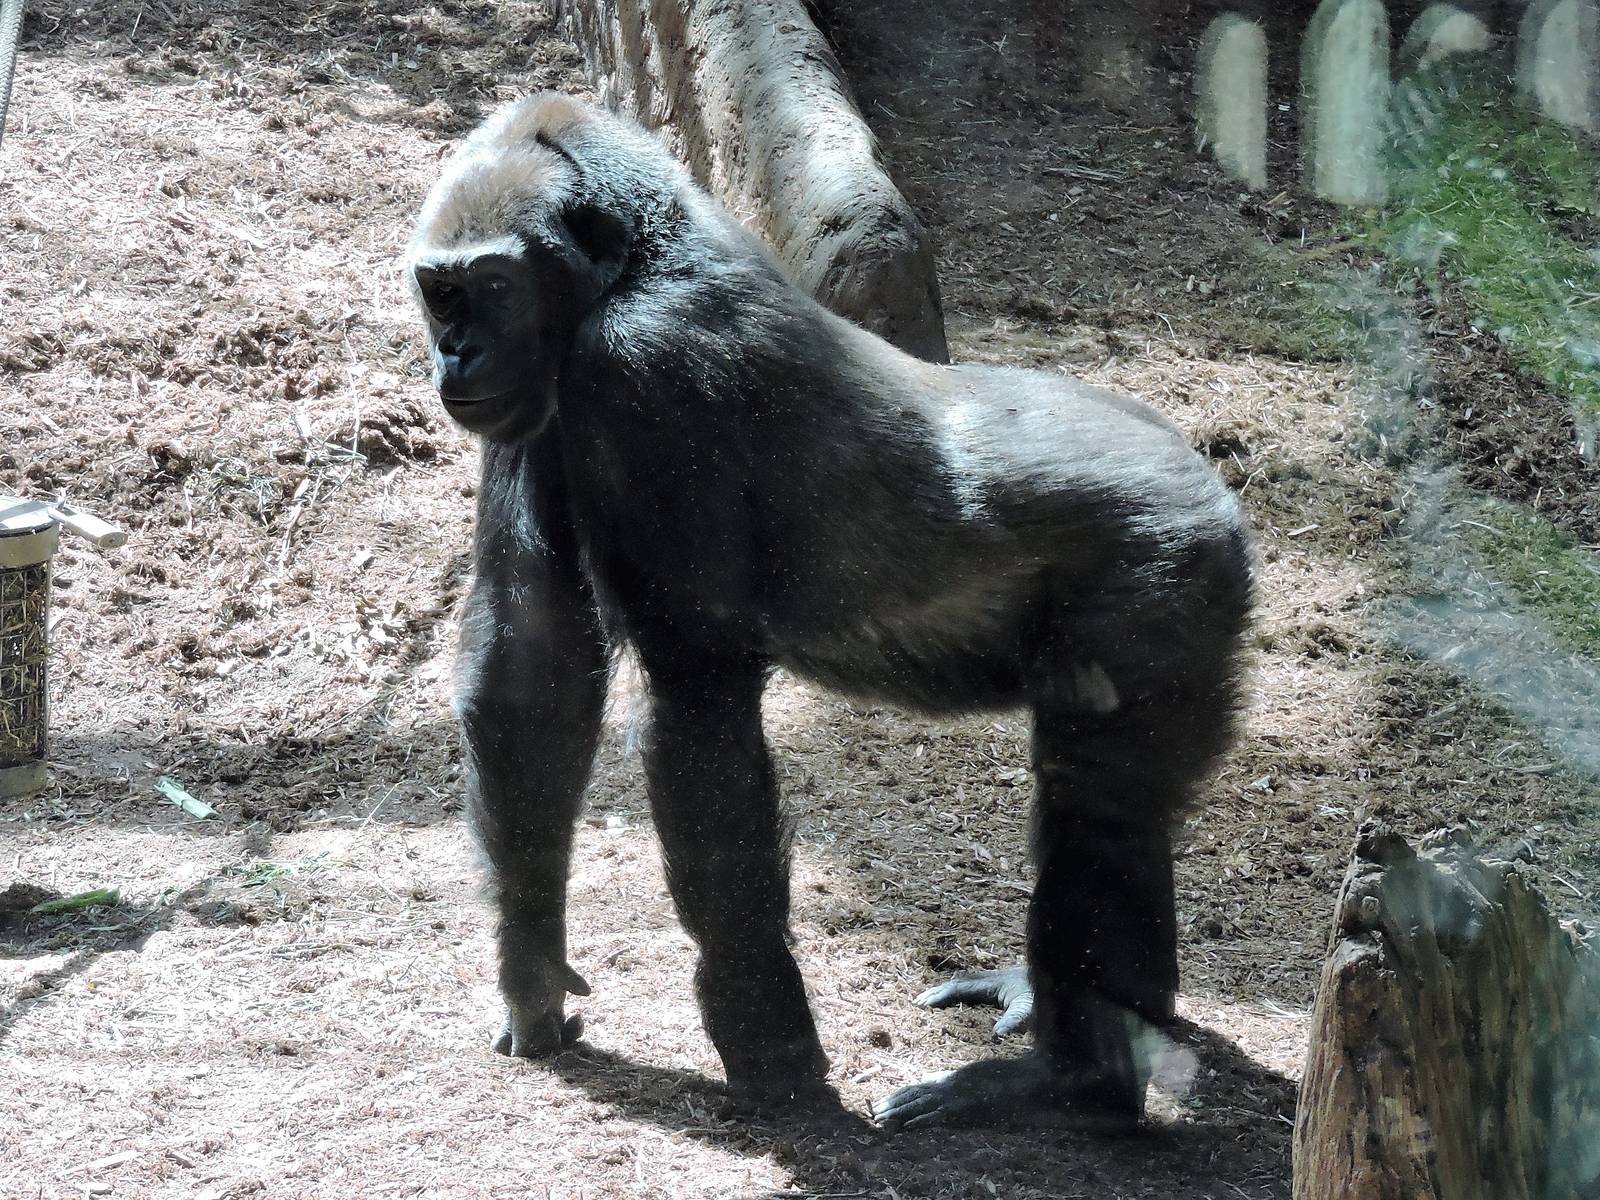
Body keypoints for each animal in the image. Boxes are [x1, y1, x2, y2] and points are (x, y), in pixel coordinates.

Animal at [406, 93, 1253, 1130]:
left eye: (490, 288)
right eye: (440, 294)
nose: (456, 353)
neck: (634, 261)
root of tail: (1215, 489)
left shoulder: (649, 369)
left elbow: (698, 704)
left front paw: (763, 1029)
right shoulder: (542, 399)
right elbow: (534, 656)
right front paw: (528, 966)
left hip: (1171, 571)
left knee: (1101, 805)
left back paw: (1073, 1077)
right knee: (1105, 807)